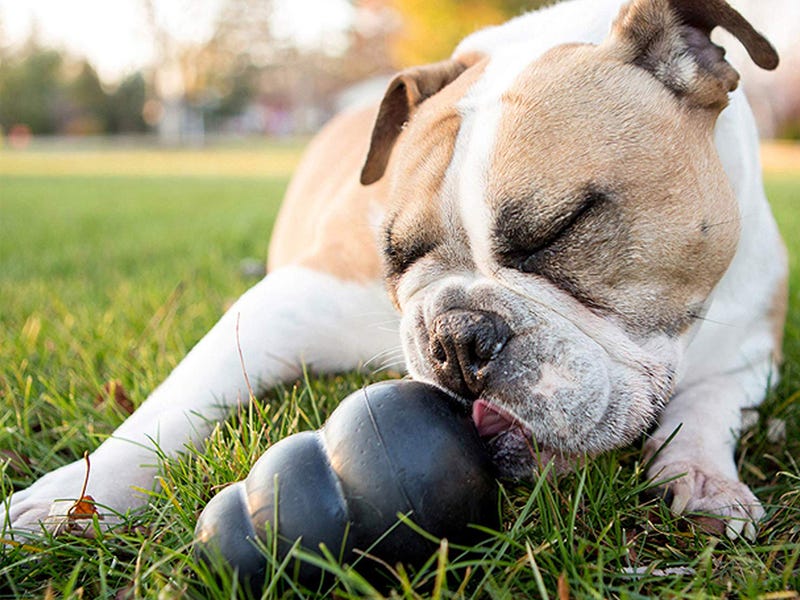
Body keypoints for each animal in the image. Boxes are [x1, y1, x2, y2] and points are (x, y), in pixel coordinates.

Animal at [3, 0, 784, 540]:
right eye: (396, 255)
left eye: (561, 229)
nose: (456, 335)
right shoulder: (289, 300)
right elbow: (175, 398)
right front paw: (75, 499)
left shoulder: (752, 346)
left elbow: (706, 405)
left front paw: (705, 479)